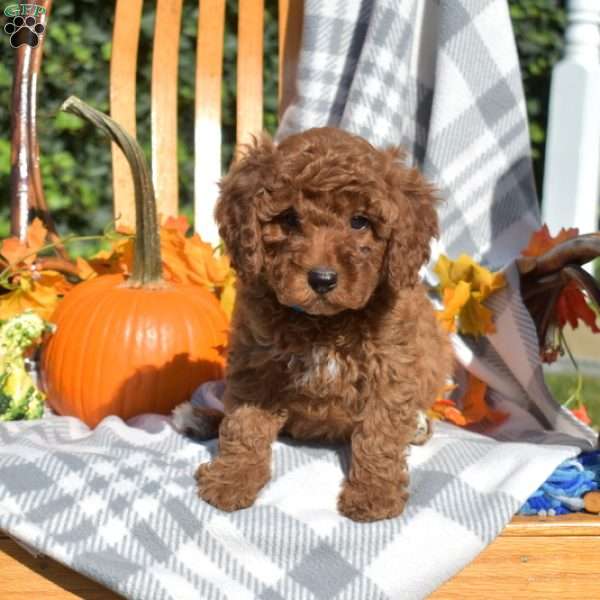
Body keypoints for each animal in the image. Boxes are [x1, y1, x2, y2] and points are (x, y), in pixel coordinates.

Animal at [195, 126, 452, 520]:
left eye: (359, 222)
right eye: (288, 219)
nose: (322, 279)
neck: (324, 323)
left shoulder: (390, 367)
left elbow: (379, 433)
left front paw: (374, 495)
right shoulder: (256, 366)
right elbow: (244, 425)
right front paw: (231, 480)